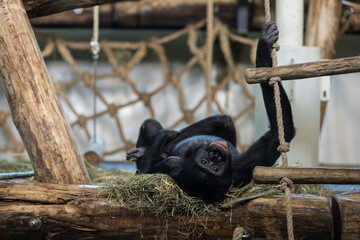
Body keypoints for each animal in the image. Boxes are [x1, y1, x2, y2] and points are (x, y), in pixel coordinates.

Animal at [126, 22, 296, 202]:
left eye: (215, 168)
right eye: (204, 163)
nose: (216, 157)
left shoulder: (241, 171)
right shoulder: (174, 164)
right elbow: (144, 174)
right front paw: (264, 47)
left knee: (222, 121)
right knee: (151, 125)